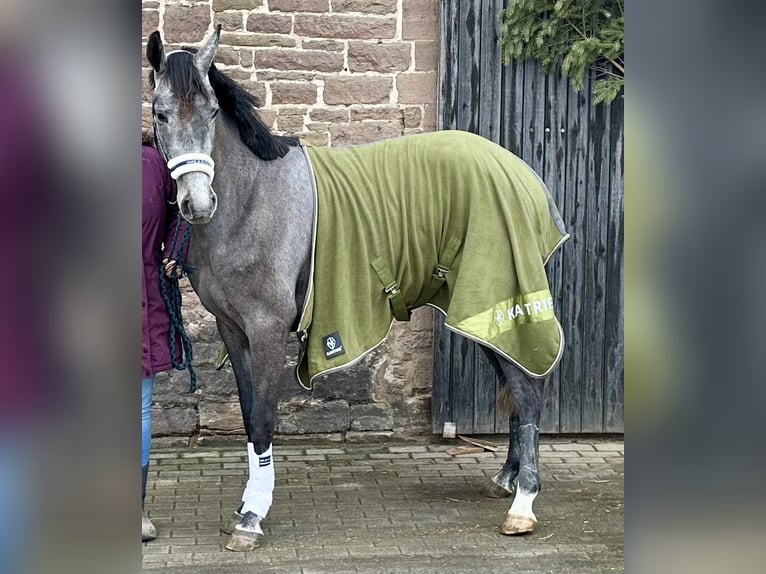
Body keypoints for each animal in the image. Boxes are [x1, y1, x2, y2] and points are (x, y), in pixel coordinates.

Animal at [147, 28, 568, 552]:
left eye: (209, 113)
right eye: (160, 113)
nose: (198, 203)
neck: (252, 200)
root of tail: (524, 175)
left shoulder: (266, 329)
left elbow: (263, 418)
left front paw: (251, 518)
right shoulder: (232, 329)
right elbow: (248, 415)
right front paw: (246, 506)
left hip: (501, 295)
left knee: (528, 389)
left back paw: (523, 505)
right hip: (479, 308)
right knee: (517, 380)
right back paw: (507, 479)